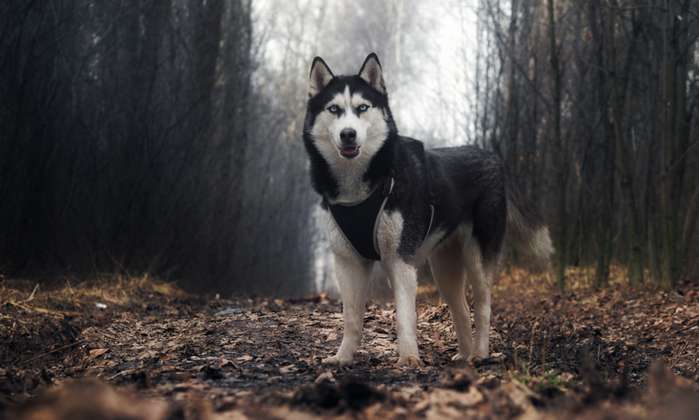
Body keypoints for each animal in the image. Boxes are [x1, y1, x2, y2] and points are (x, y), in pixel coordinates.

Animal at [304, 53, 556, 368]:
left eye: (362, 108)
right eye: (334, 109)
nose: (348, 134)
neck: (361, 186)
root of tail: (494, 158)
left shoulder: (400, 259)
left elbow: (404, 317)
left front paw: (409, 359)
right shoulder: (347, 262)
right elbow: (351, 319)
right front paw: (342, 357)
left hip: (477, 257)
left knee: (483, 306)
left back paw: (480, 353)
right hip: (443, 267)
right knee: (461, 308)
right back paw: (464, 354)